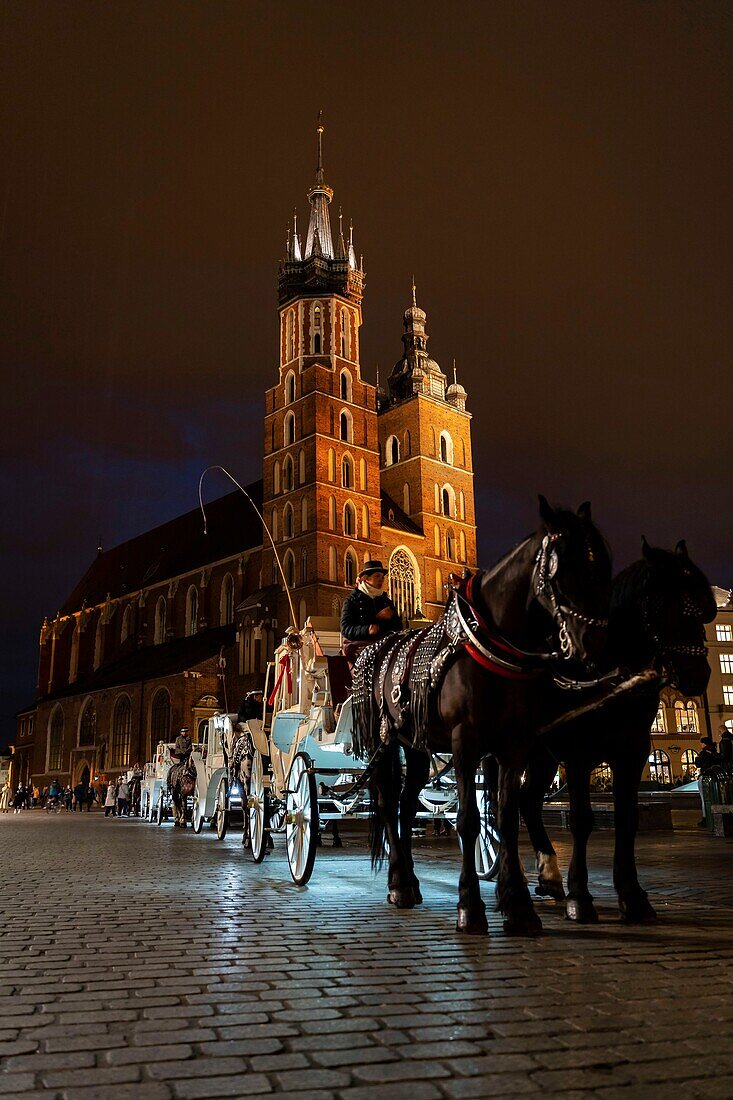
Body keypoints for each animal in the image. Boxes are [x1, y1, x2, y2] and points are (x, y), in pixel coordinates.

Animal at [349, 499, 611, 937]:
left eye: (602, 565)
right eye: (561, 568)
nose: (593, 646)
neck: (492, 643)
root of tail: (379, 649)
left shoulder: (515, 743)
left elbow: (505, 818)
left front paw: (518, 906)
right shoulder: (465, 741)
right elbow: (469, 821)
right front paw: (470, 908)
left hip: (415, 747)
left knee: (405, 807)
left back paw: (409, 882)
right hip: (383, 742)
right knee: (386, 805)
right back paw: (399, 885)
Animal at [519, 536, 713, 924]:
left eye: (701, 609)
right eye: (658, 602)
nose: (696, 675)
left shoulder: (633, 751)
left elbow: (628, 818)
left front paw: (633, 896)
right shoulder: (578, 753)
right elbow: (581, 819)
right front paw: (580, 896)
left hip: (542, 756)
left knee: (526, 801)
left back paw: (548, 876)